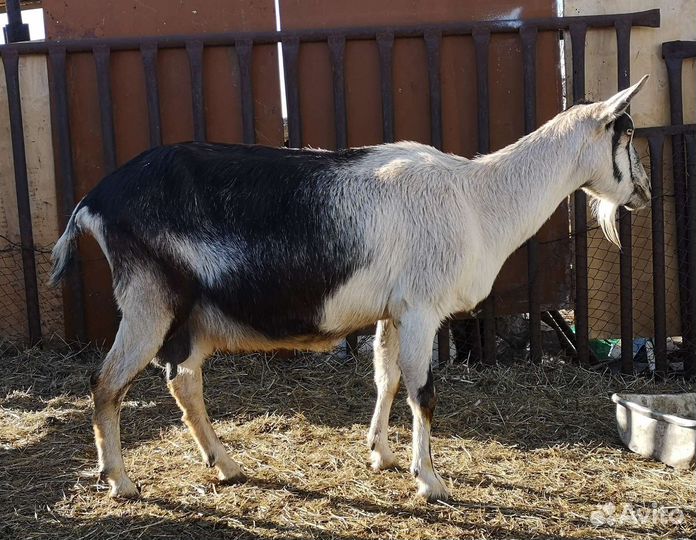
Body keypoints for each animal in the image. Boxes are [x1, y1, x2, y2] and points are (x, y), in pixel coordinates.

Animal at [50, 75, 650, 502]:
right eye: (627, 134)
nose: (644, 193)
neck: (478, 198)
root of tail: (93, 202)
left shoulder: (395, 309)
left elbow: (387, 379)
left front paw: (380, 455)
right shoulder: (421, 308)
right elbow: (423, 391)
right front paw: (429, 481)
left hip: (188, 316)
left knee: (182, 381)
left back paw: (226, 465)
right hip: (149, 301)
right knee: (106, 382)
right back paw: (120, 480)